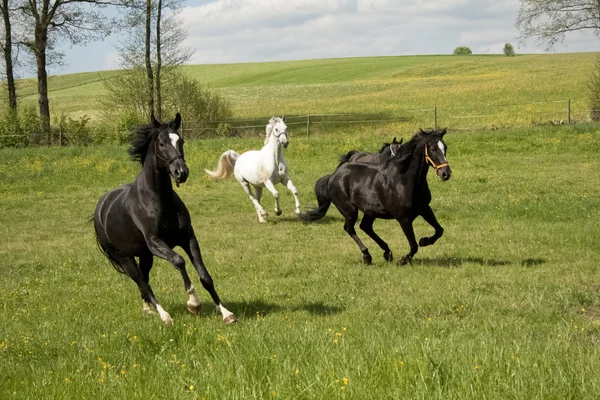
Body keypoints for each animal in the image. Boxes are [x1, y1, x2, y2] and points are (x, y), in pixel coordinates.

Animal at [92, 114, 236, 326]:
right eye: (161, 143)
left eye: (180, 141)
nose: (181, 172)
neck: (159, 199)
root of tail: (99, 210)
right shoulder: (155, 243)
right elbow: (179, 261)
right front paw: (193, 303)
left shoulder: (188, 238)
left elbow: (205, 276)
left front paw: (226, 313)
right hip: (125, 258)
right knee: (142, 282)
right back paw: (164, 315)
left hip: (145, 256)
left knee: (144, 279)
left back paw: (147, 310)